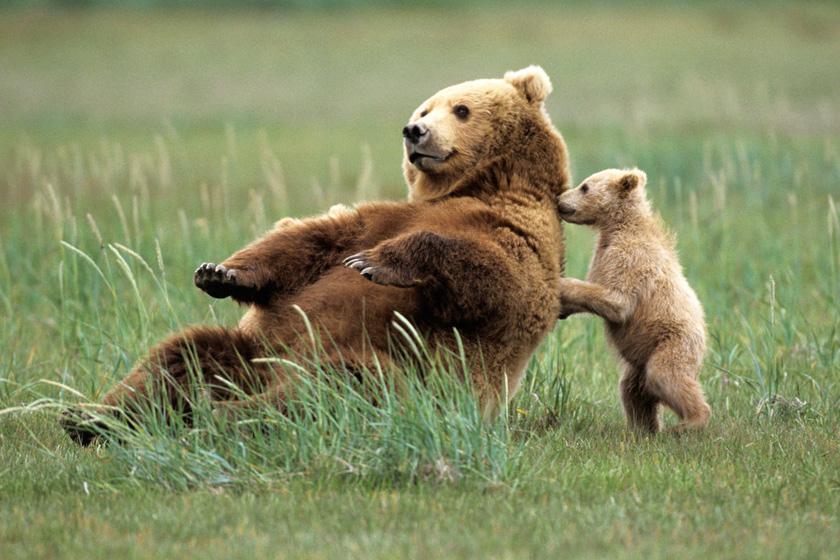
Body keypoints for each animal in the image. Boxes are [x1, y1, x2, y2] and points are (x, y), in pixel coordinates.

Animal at [62, 66, 571, 445]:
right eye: (425, 108)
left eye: (461, 108)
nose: (415, 131)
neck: (478, 185)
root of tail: (266, 373)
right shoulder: (381, 217)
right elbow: (312, 241)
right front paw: (219, 273)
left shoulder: (519, 235)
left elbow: (496, 276)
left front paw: (374, 264)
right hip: (255, 351)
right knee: (181, 355)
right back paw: (92, 417)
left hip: (389, 367)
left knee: (325, 389)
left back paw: (221, 415)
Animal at [556, 168, 710, 433]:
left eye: (584, 186)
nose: (559, 200)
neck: (618, 227)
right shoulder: (603, 255)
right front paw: (563, 308)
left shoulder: (631, 259)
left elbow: (617, 300)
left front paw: (562, 284)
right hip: (639, 362)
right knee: (632, 392)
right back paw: (643, 429)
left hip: (673, 343)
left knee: (666, 376)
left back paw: (690, 422)